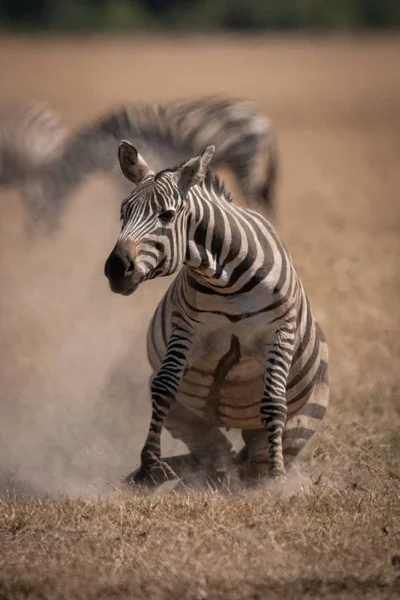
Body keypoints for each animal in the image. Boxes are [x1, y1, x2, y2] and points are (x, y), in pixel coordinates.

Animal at [104, 142, 330, 492]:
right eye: (123, 213)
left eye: (167, 215)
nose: (116, 269)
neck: (226, 280)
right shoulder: (186, 329)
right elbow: (164, 387)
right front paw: (147, 467)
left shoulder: (278, 333)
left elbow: (273, 402)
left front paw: (277, 479)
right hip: (188, 418)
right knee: (216, 458)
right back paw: (164, 477)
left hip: (303, 421)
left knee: (247, 461)